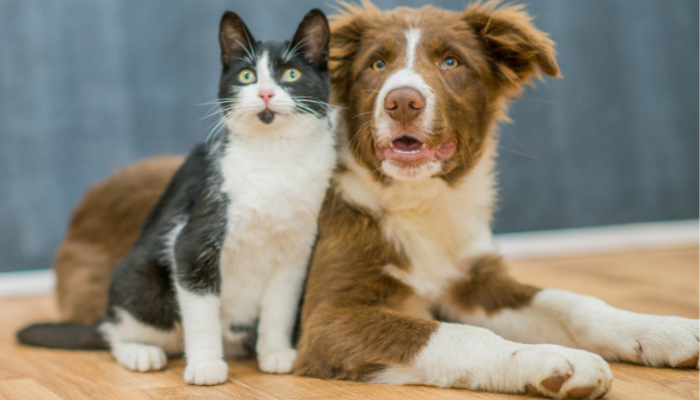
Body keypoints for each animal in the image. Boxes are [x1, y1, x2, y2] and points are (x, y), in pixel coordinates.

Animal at [16, 7, 334, 386]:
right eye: (247, 76)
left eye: (291, 74)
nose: (266, 94)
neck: (274, 158)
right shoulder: (193, 240)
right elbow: (201, 310)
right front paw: (206, 365)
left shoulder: (295, 254)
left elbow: (280, 308)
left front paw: (275, 352)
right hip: (144, 285)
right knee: (116, 333)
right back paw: (140, 352)